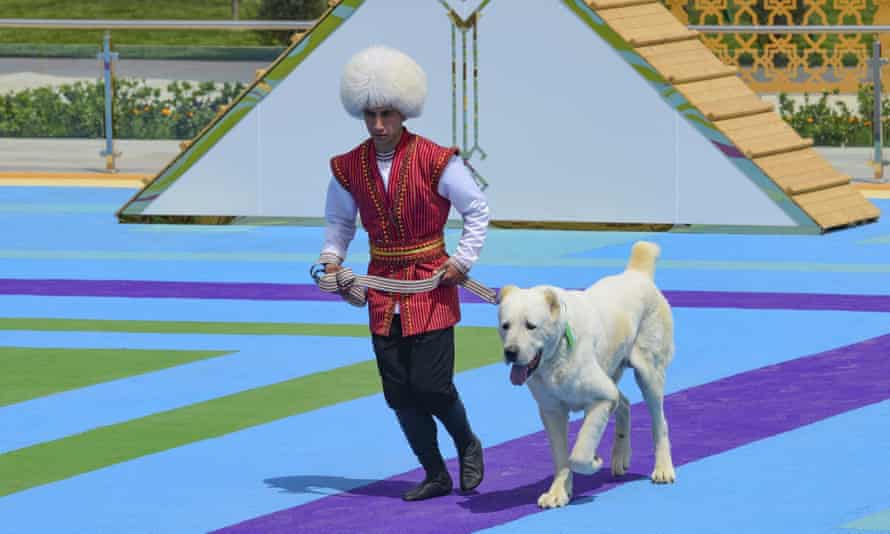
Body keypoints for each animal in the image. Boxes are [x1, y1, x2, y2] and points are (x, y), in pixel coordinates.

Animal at [496, 241, 676, 508]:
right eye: (505, 326)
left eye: (531, 326)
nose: (510, 352)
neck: (558, 351)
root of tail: (637, 274)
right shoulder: (551, 410)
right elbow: (561, 457)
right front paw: (558, 492)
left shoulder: (602, 397)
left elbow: (579, 452)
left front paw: (593, 462)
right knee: (624, 403)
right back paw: (620, 457)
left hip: (649, 374)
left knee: (659, 422)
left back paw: (663, 469)